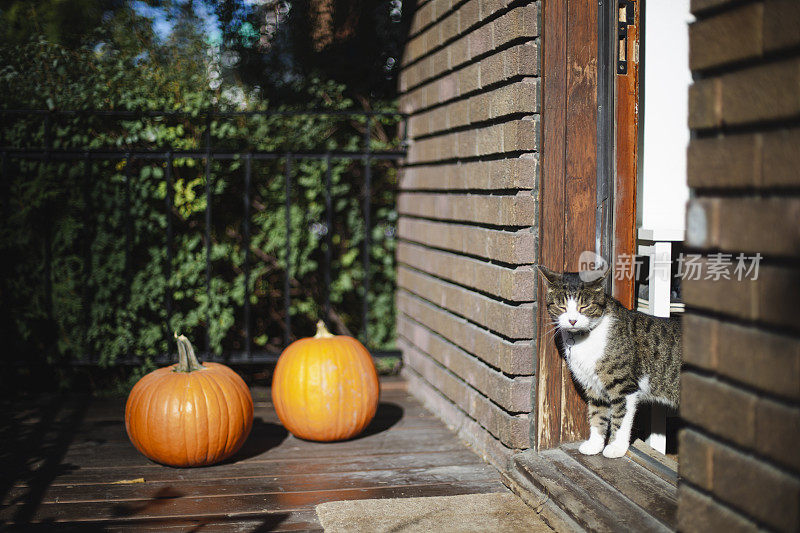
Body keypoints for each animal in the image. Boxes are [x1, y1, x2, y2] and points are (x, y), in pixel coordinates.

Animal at [536, 266, 680, 458]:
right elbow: (597, 415)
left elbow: (620, 416)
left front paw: (616, 447)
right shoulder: (593, 386)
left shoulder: (623, 386)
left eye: (585, 306)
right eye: (561, 306)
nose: (572, 320)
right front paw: (594, 445)